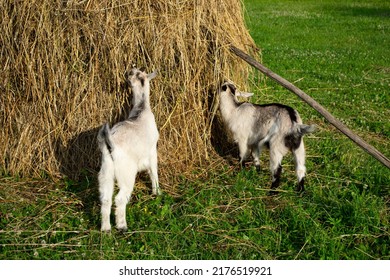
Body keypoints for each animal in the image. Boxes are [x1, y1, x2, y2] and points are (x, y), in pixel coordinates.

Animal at [97, 66, 160, 231]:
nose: (130, 69)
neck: (141, 108)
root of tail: (111, 146)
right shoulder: (152, 151)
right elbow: (154, 172)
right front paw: (157, 192)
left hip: (105, 173)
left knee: (105, 199)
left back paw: (106, 229)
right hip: (126, 174)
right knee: (119, 199)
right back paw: (122, 226)